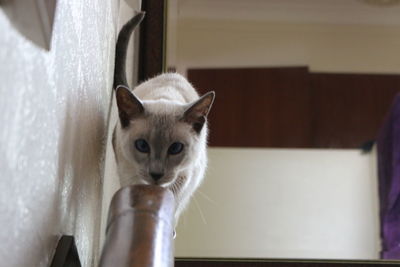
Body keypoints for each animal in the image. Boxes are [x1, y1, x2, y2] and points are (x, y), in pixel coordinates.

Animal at [111, 12, 216, 223]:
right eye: (142, 146)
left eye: (175, 148)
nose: (156, 174)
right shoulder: (128, 172)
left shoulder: (184, 179)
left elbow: (172, 203)